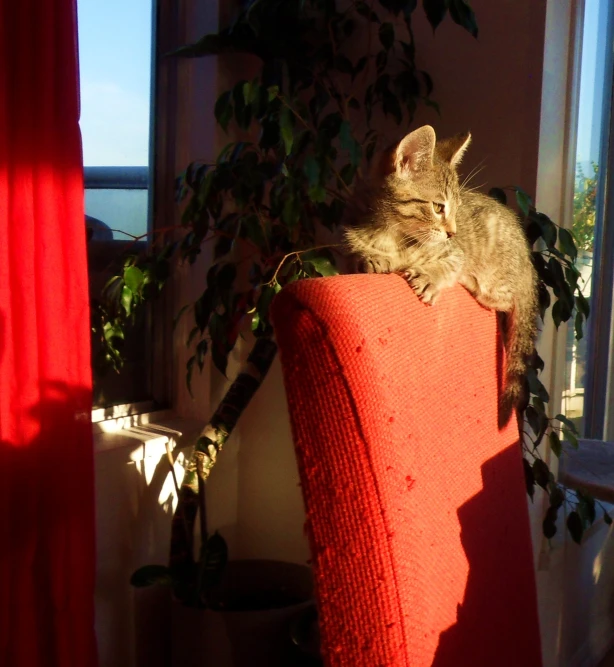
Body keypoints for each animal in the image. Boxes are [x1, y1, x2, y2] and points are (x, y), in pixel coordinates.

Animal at [344, 126, 540, 422]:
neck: (394, 235)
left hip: (497, 279)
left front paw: (429, 277)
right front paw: (370, 258)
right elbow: (357, 254)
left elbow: (449, 264)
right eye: (438, 207)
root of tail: (529, 265)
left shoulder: (455, 253)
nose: (453, 232)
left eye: (457, 209)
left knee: (504, 299)